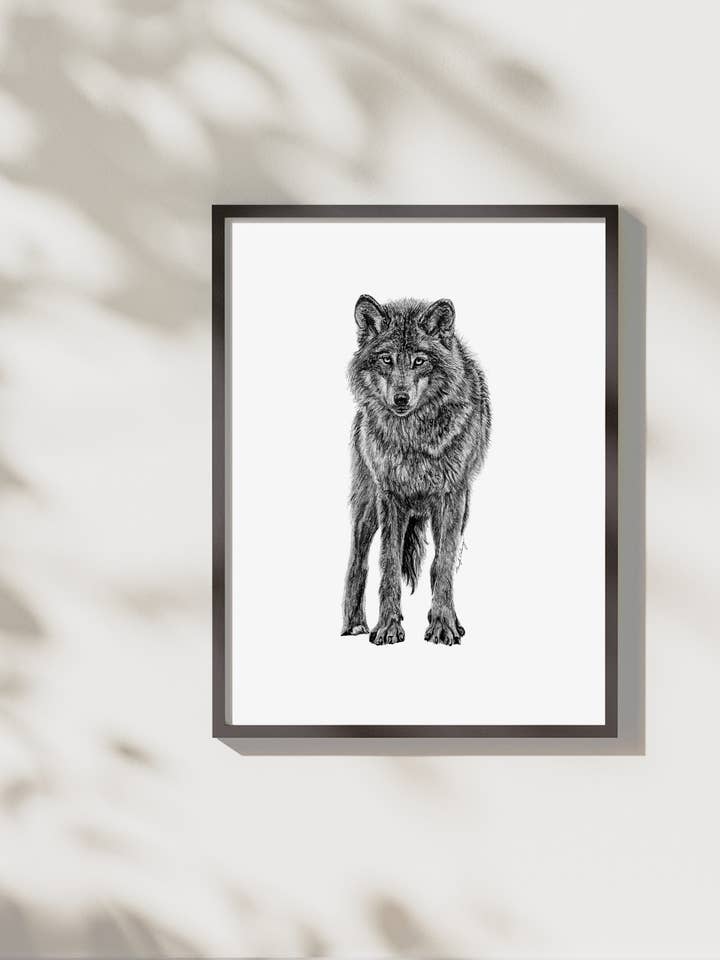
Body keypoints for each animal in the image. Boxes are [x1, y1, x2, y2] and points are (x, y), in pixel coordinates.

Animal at [341, 294, 491, 646]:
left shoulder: (451, 497)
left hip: (460, 509)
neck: (414, 438)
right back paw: (353, 624)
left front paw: (443, 625)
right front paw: (387, 627)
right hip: (367, 509)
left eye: (419, 361)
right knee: (357, 562)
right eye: (386, 359)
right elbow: (389, 563)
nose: (401, 399)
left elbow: (443, 564)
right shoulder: (390, 498)